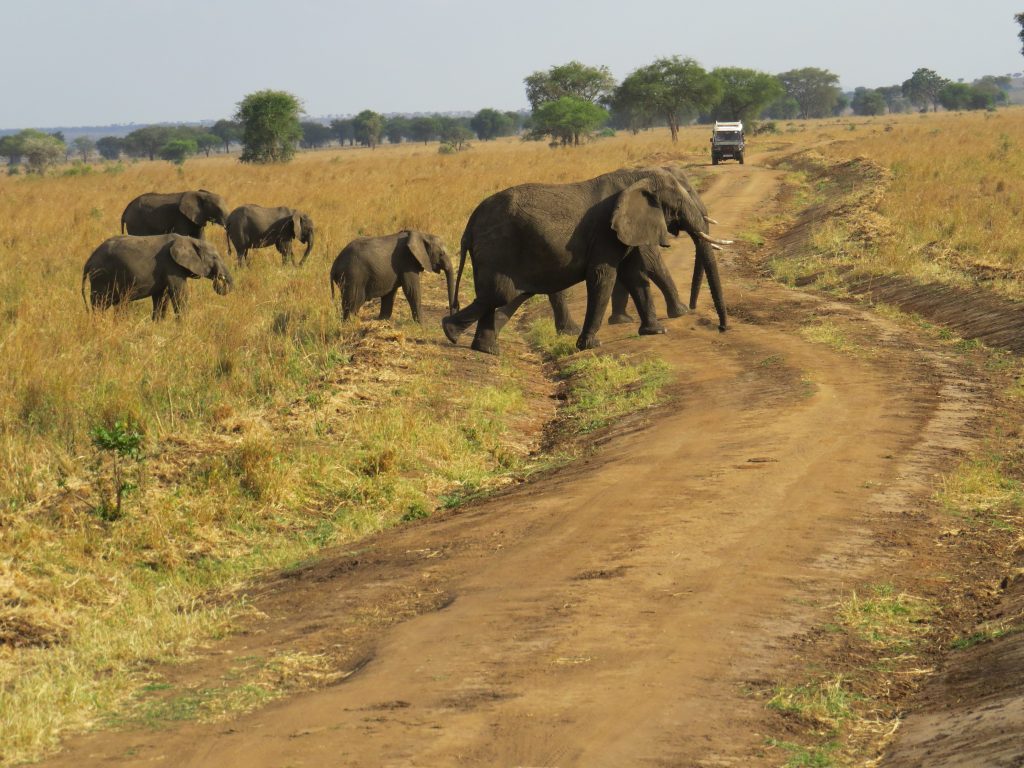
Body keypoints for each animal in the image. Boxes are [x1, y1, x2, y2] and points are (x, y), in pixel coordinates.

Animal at [81, 233, 234, 319]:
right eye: (214, 257)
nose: (219, 278)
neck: (189, 240)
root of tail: (89, 260)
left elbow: (162, 297)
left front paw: (158, 324)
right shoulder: (171, 266)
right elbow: (179, 294)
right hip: (101, 276)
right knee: (100, 305)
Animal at [446, 166, 729, 356]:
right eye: (680, 200)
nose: (722, 328)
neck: (639, 177)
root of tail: (470, 223)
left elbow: (635, 274)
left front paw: (655, 331)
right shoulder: (606, 231)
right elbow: (604, 275)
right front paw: (590, 345)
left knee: (507, 296)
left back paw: (482, 348)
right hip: (498, 248)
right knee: (500, 294)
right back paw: (451, 331)